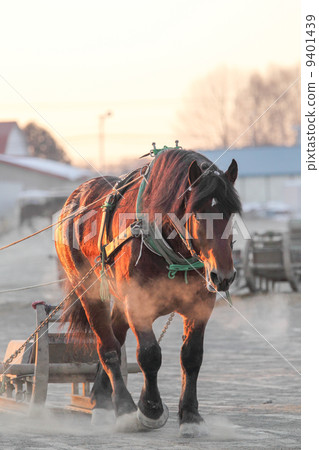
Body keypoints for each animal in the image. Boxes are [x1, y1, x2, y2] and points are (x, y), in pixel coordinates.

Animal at [55, 149, 241, 436]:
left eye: (232, 213)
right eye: (198, 213)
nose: (223, 276)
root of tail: (75, 198)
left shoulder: (200, 305)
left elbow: (191, 356)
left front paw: (190, 415)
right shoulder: (137, 303)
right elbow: (149, 354)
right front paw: (150, 408)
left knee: (116, 337)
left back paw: (101, 397)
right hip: (88, 289)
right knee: (107, 347)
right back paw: (121, 407)